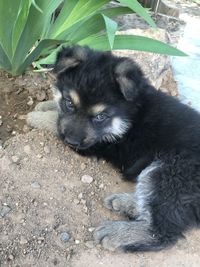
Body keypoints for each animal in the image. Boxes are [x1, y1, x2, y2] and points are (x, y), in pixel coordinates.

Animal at [27, 46, 200, 253]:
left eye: (100, 117)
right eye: (69, 103)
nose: (70, 141)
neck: (131, 113)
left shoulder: (99, 143)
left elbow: (53, 122)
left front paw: (35, 116)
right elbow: (57, 114)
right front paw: (45, 105)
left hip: (171, 171)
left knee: (163, 231)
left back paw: (117, 232)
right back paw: (128, 204)